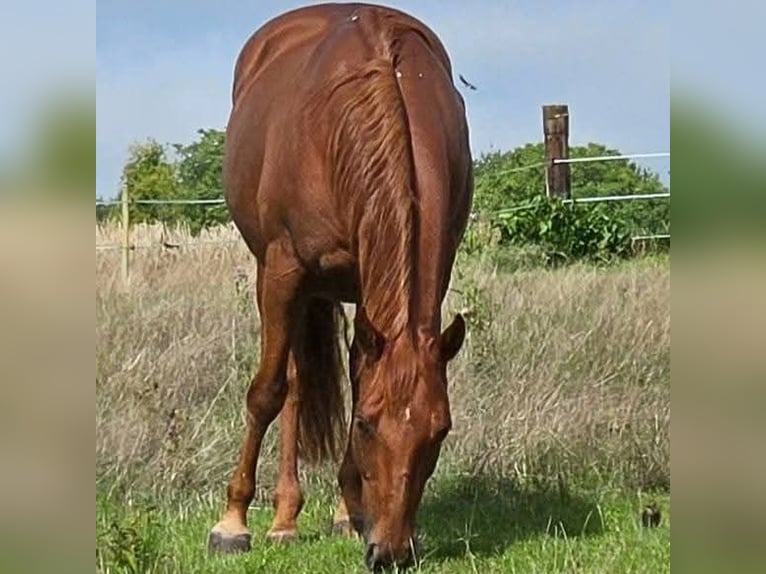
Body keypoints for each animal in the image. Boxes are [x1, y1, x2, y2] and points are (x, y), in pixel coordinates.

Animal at [208, 3, 473, 569]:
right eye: (370, 425)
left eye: (440, 431)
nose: (391, 553)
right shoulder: (284, 271)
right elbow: (267, 392)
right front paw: (232, 522)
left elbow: (356, 380)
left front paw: (351, 515)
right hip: (280, 278)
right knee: (290, 383)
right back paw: (282, 520)